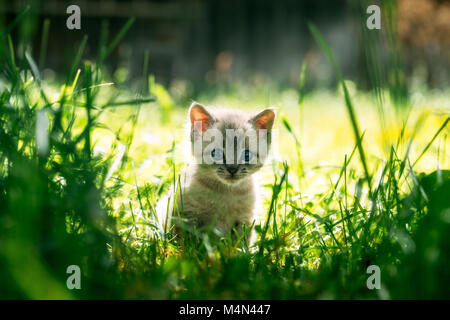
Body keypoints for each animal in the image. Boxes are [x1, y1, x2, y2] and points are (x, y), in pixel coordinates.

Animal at [158, 102, 278, 242]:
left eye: (246, 155)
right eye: (217, 153)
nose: (232, 169)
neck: (226, 192)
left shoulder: (245, 220)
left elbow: (240, 243)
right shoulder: (185, 214)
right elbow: (185, 241)